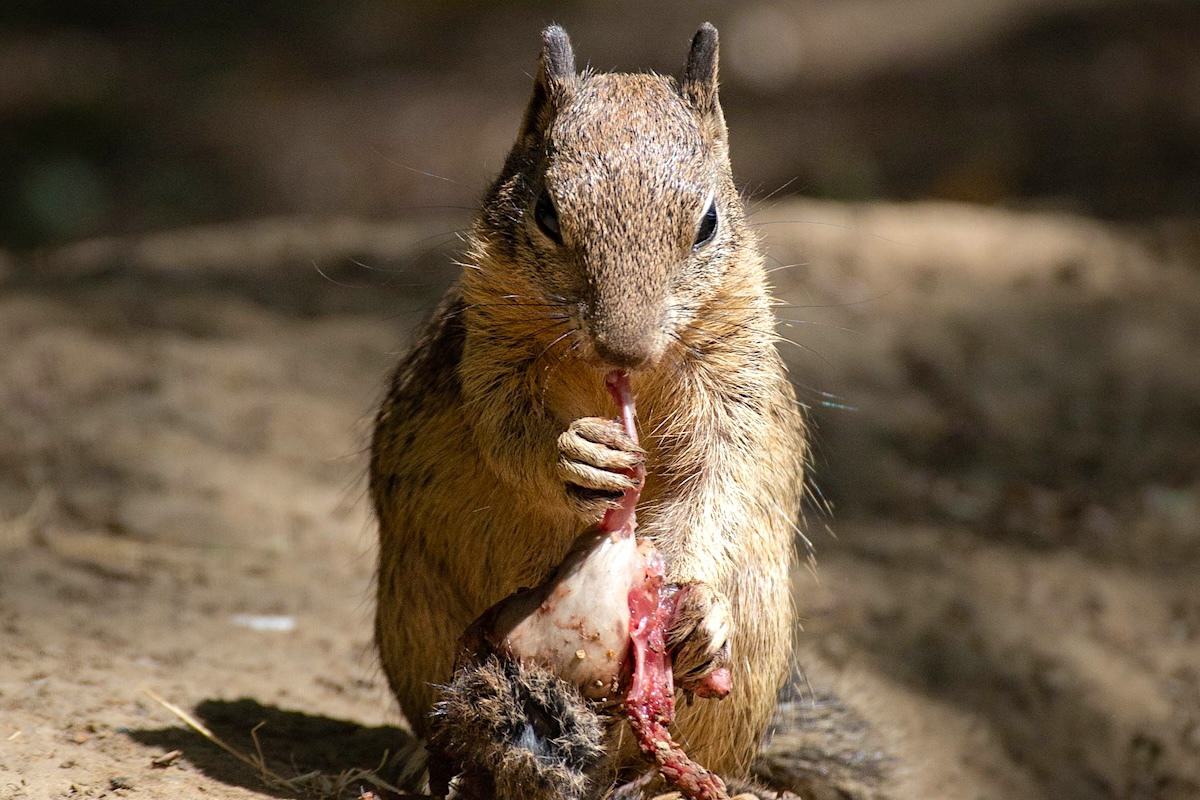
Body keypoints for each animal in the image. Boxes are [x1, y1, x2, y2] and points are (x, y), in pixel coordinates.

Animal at [370, 23, 807, 797]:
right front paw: (579, 457)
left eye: (708, 222)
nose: (624, 347)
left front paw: (699, 608)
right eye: (547, 213)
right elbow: (505, 430)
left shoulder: (735, 383)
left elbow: (722, 480)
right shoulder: (490, 353)